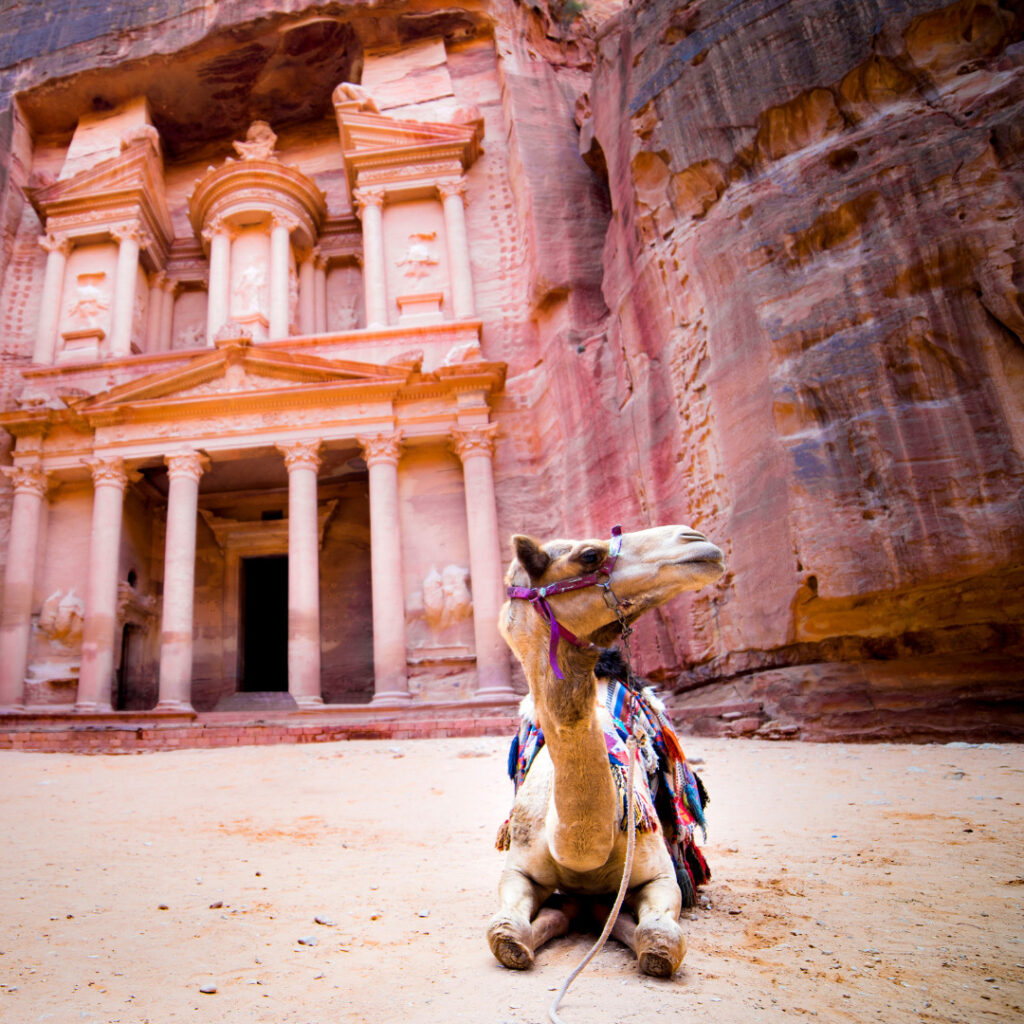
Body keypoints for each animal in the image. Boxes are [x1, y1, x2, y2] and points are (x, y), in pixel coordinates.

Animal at [485, 524, 720, 978]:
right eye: (589, 555)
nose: (697, 540)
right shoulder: (517, 871)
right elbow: (505, 934)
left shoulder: (658, 877)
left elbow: (660, 941)